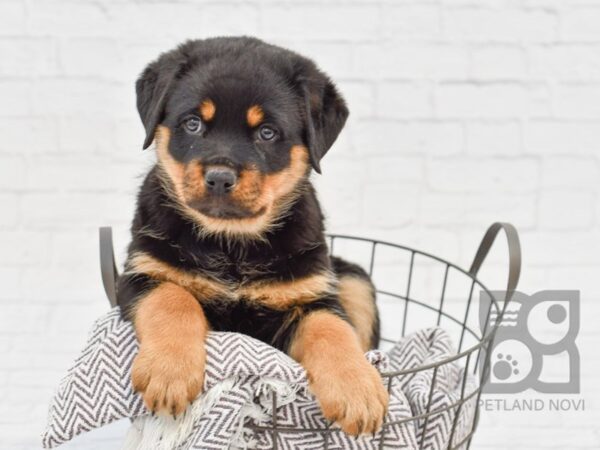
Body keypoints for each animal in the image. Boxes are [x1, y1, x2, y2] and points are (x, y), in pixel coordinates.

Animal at [117, 37, 390, 438]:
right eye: (193, 123)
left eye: (267, 133)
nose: (219, 177)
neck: (232, 246)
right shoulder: (142, 272)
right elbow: (172, 298)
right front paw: (169, 373)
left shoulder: (309, 295)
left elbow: (332, 329)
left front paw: (358, 390)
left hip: (354, 279)